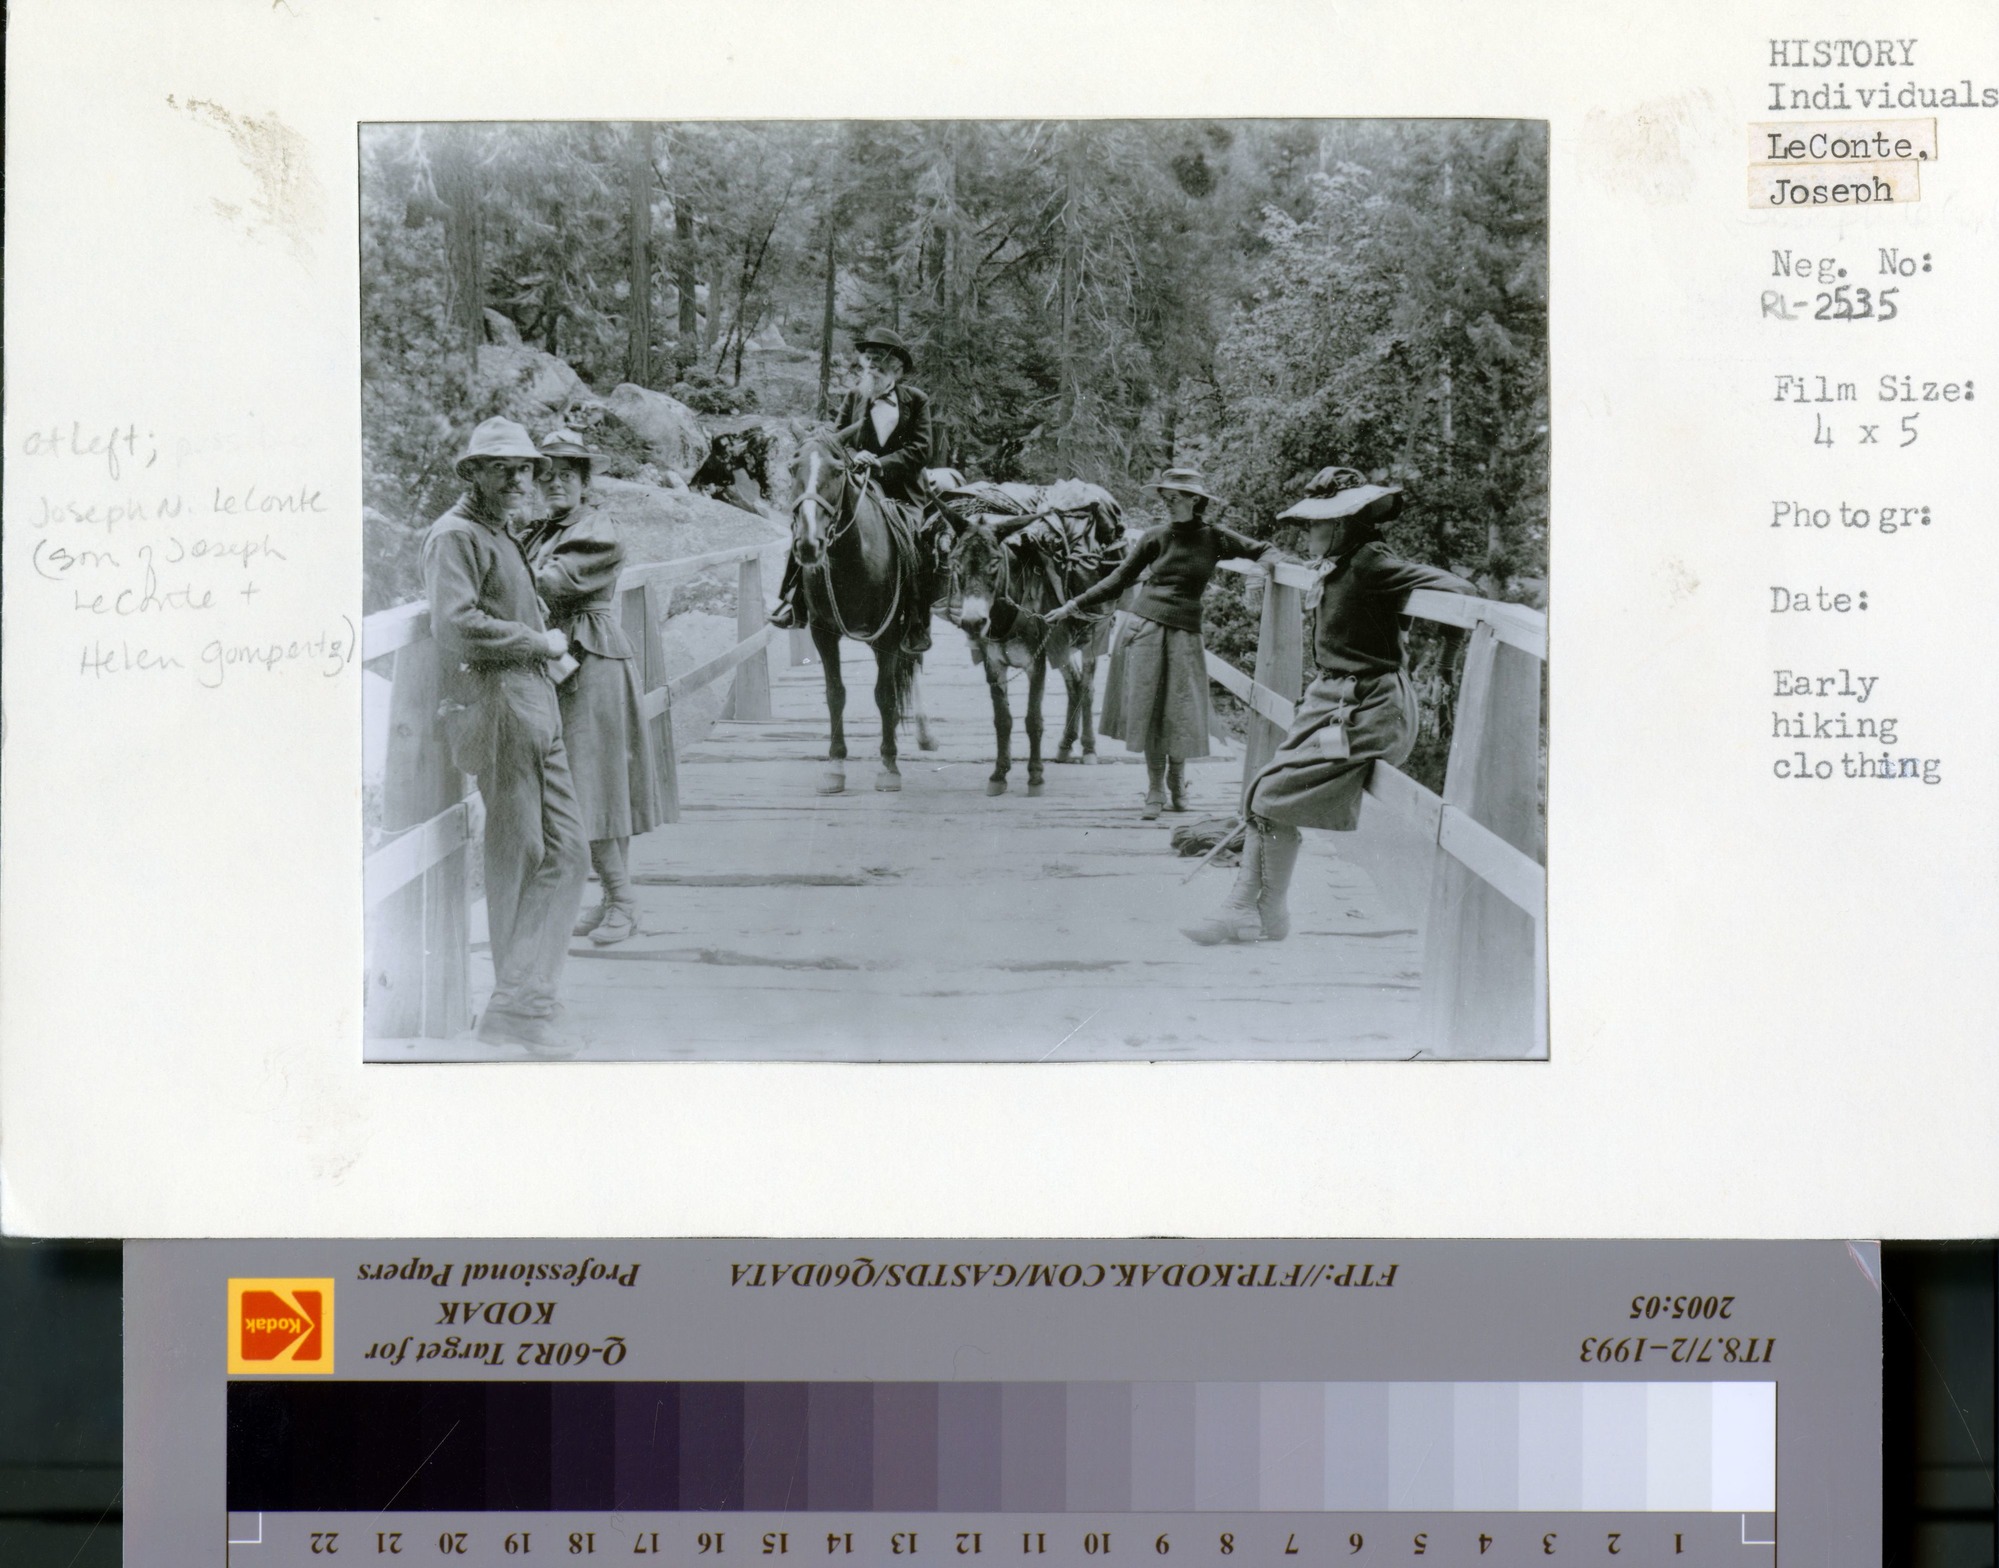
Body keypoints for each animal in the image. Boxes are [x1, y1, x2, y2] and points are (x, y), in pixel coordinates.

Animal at [783, 432, 931, 792]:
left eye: (838, 471)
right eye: (793, 467)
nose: (808, 544)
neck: (850, 559)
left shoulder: (889, 634)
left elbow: (885, 695)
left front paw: (889, 765)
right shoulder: (823, 632)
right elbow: (835, 694)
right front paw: (835, 765)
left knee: (913, 665)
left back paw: (924, 734)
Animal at [939, 516, 1119, 796]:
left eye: (995, 562)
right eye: (955, 562)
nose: (972, 622)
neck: (1005, 617)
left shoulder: (1037, 662)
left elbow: (1033, 719)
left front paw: (1035, 777)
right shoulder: (994, 665)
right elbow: (1002, 720)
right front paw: (999, 775)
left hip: (1092, 634)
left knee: (1087, 687)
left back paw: (1089, 748)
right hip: (1060, 644)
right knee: (1075, 682)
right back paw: (1065, 745)